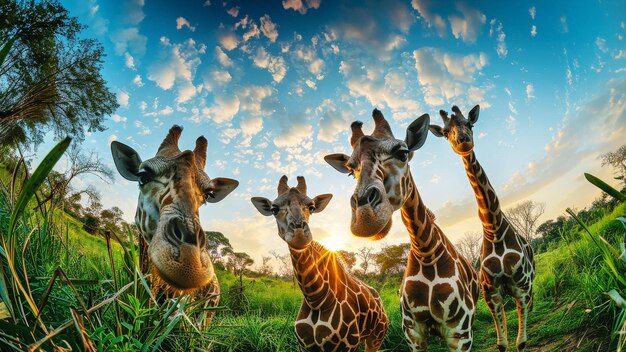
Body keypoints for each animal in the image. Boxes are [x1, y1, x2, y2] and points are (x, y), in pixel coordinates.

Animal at [251, 175, 388, 350]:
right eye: (274, 209)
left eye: (311, 207)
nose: (300, 234)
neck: (316, 299)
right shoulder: (305, 345)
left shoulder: (348, 344)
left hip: (377, 335)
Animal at [324, 108, 476, 350]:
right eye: (350, 170)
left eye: (403, 153)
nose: (365, 218)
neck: (426, 251)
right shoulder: (413, 333)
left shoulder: (460, 333)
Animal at [428, 105, 536, 352]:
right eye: (446, 132)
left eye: (470, 123)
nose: (463, 141)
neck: (494, 230)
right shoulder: (491, 291)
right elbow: (502, 344)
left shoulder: (521, 285)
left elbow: (521, 343)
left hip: (529, 282)